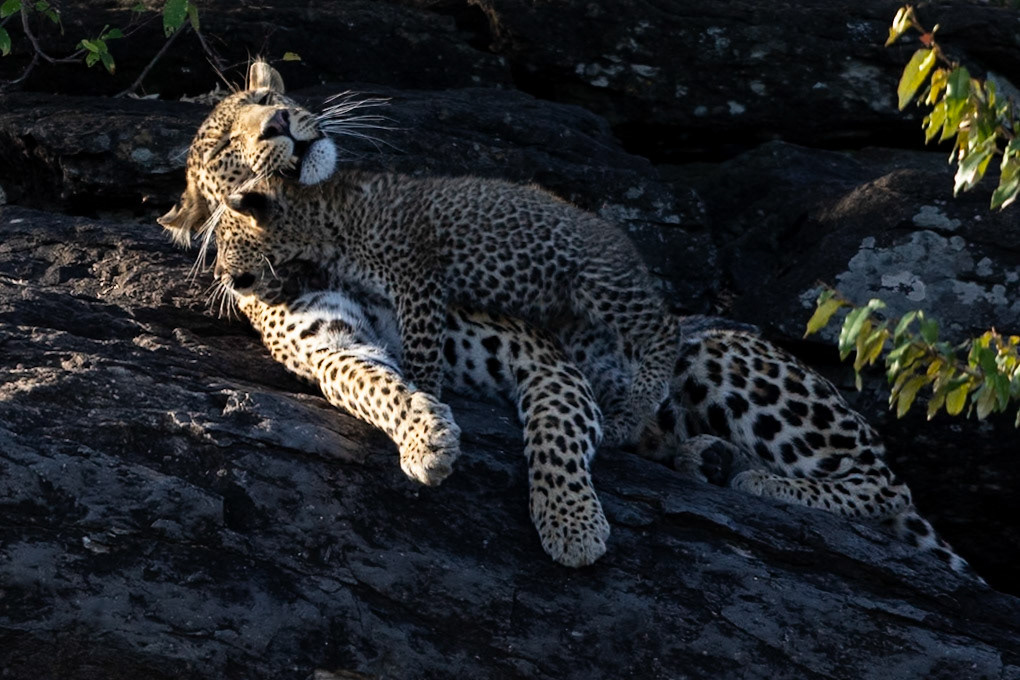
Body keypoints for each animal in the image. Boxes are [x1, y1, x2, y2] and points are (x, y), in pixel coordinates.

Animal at [160, 60, 977, 577]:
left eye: (260, 106)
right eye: (229, 145)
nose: (278, 121)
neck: (320, 245)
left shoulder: (538, 354)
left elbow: (554, 440)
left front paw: (571, 526)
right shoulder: (330, 349)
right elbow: (380, 388)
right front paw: (427, 436)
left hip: (724, 359)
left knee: (885, 492)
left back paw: (756, 481)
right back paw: (703, 459)